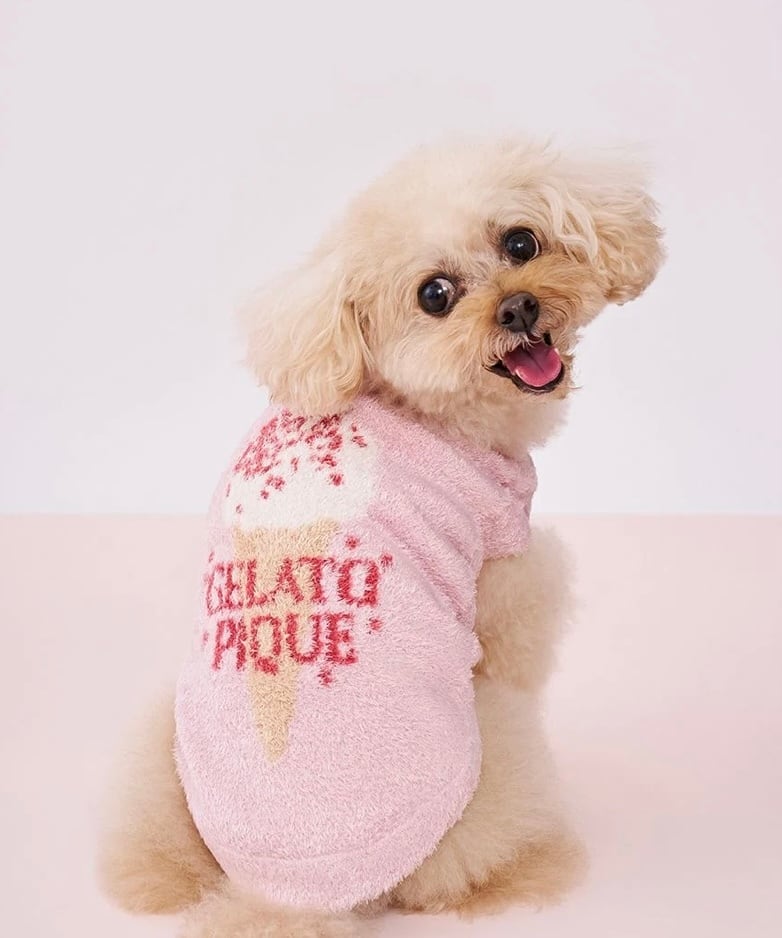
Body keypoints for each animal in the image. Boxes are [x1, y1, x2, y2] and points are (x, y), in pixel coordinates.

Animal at [98, 136, 663, 937]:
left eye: (521, 243)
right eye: (435, 295)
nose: (519, 305)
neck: (410, 400)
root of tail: (282, 899)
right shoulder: (508, 565)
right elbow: (520, 635)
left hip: (164, 748)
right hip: (488, 749)